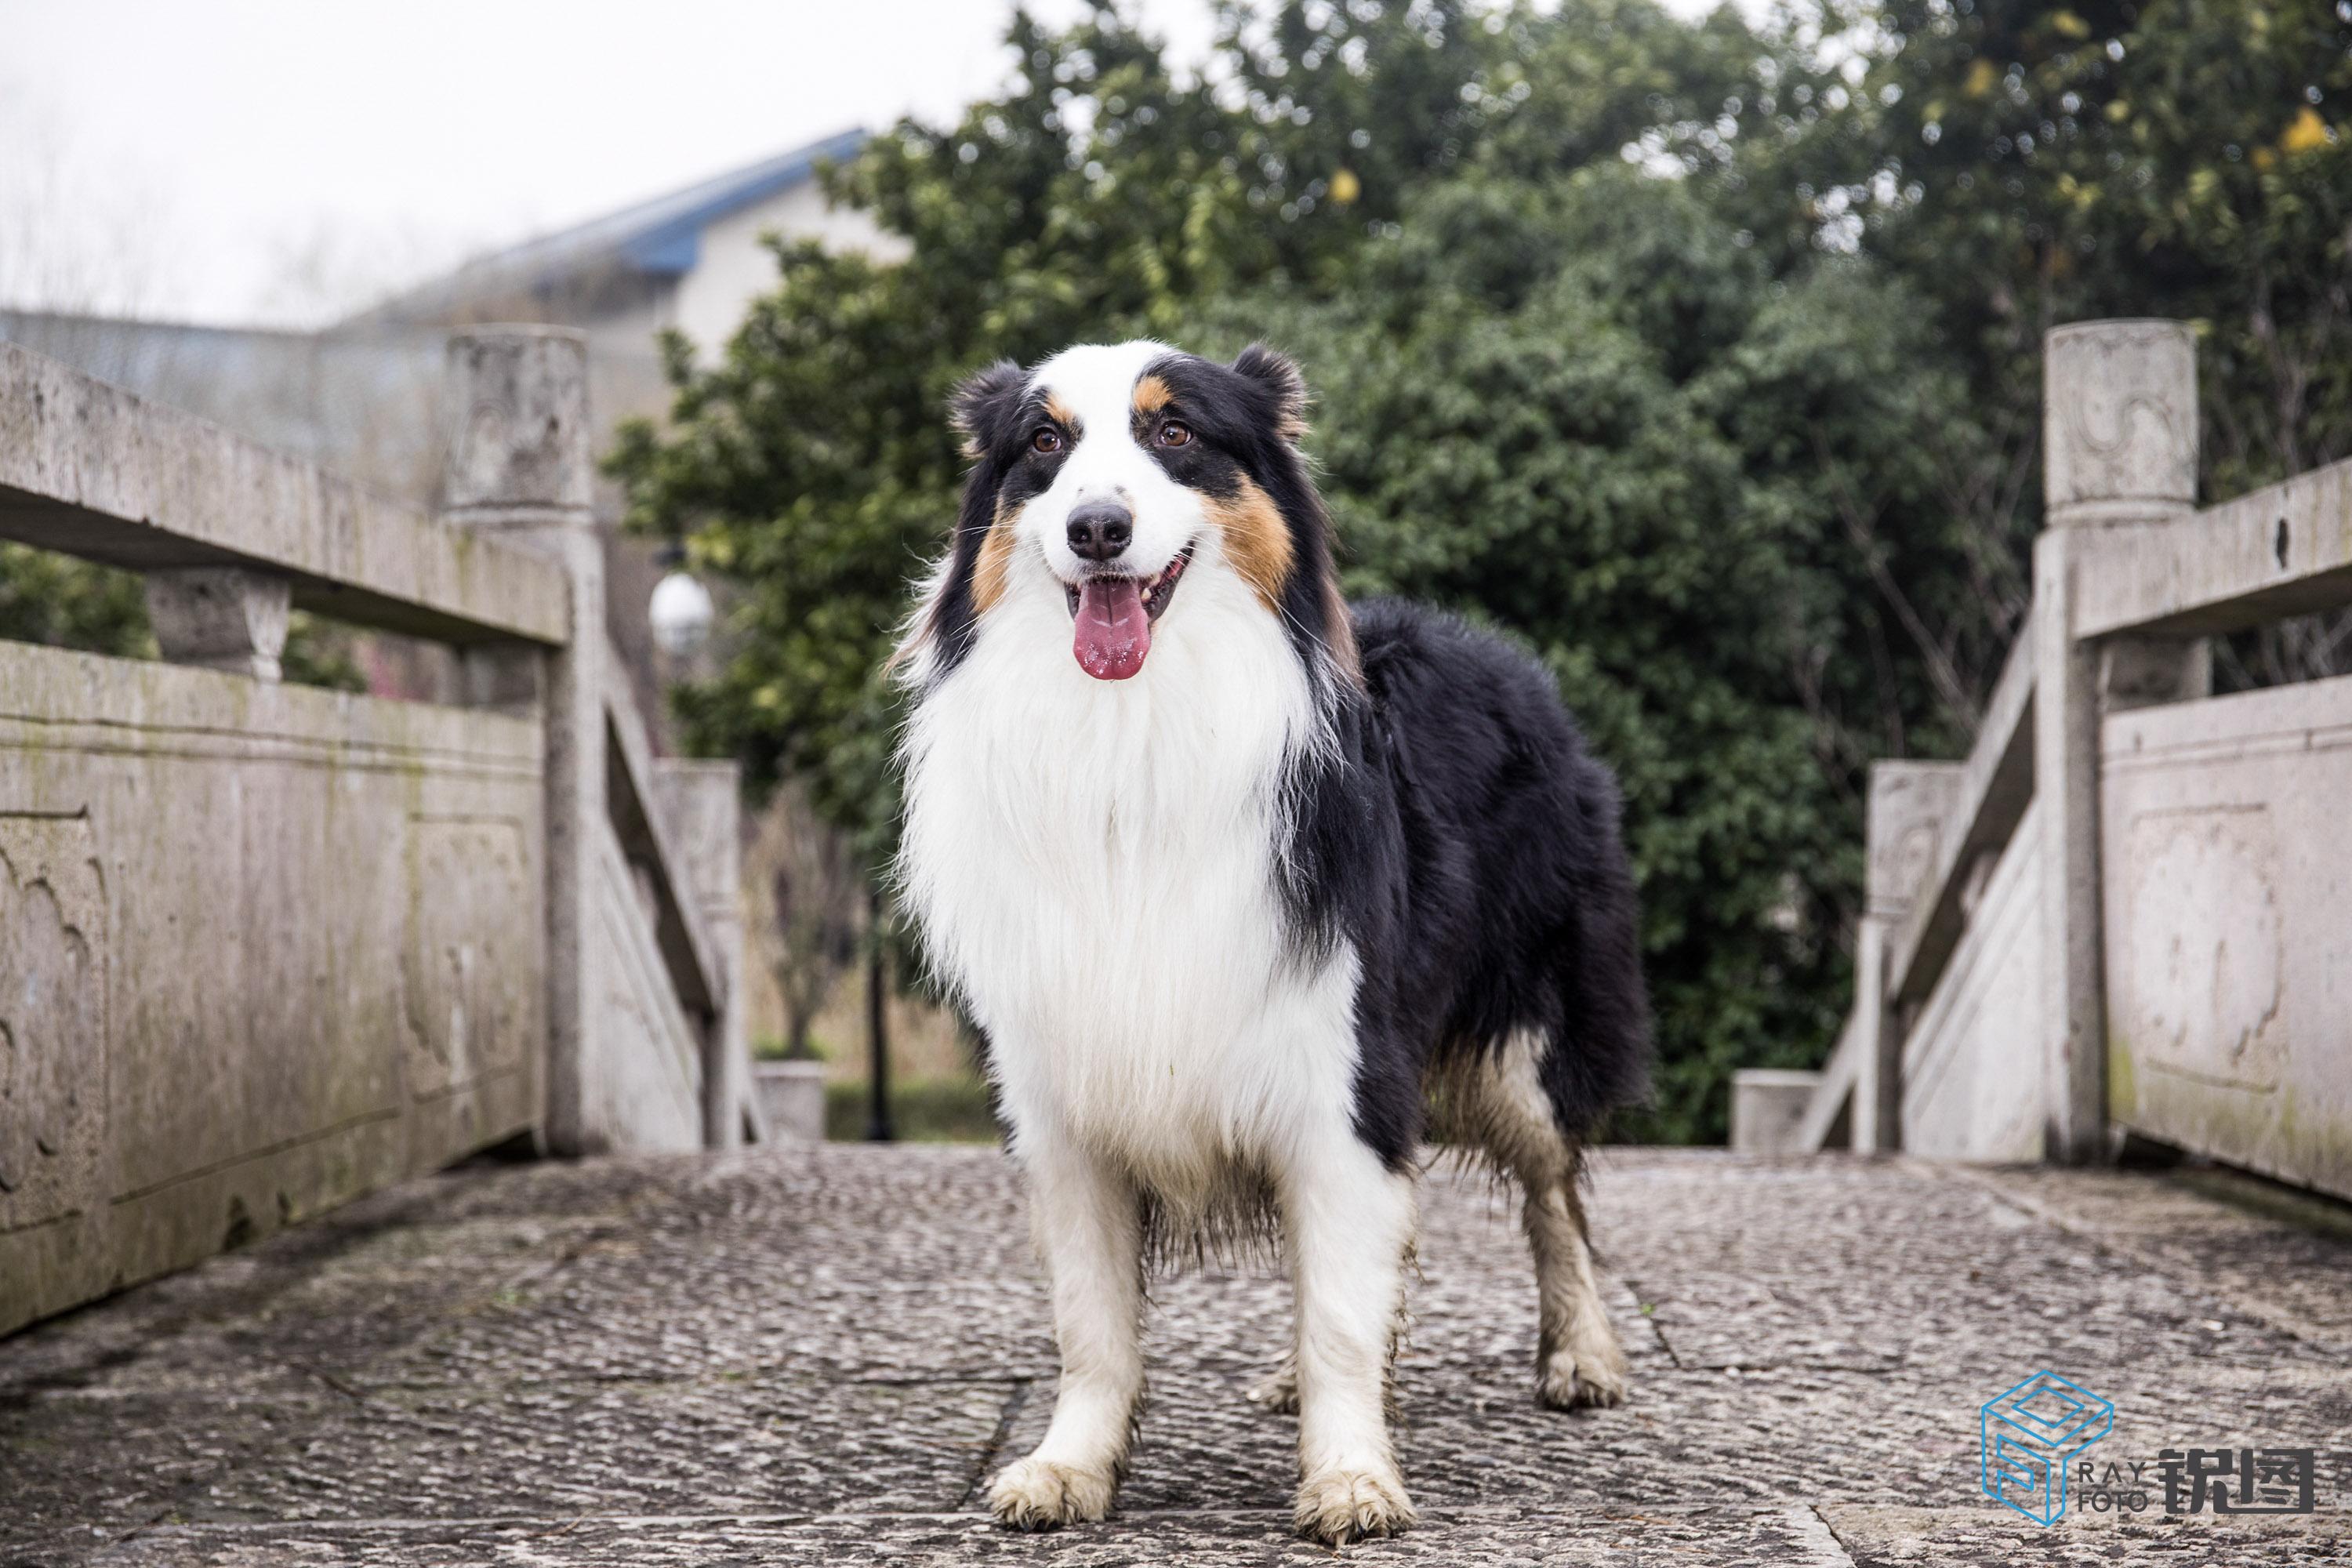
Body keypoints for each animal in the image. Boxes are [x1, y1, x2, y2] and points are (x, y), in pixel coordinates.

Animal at [889, 343, 1646, 1542]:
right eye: (1043, 444)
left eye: (1176, 433)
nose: (1097, 527)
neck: (1133, 734)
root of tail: (1490, 647)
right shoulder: (1063, 1097)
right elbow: (1092, 1321)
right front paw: (1069, 1465)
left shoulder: (1343, 1068)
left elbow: (1340, 1302)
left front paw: (1351, 1476)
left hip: (1529, 1033)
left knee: (1553, 1189)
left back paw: (1583, 1354)